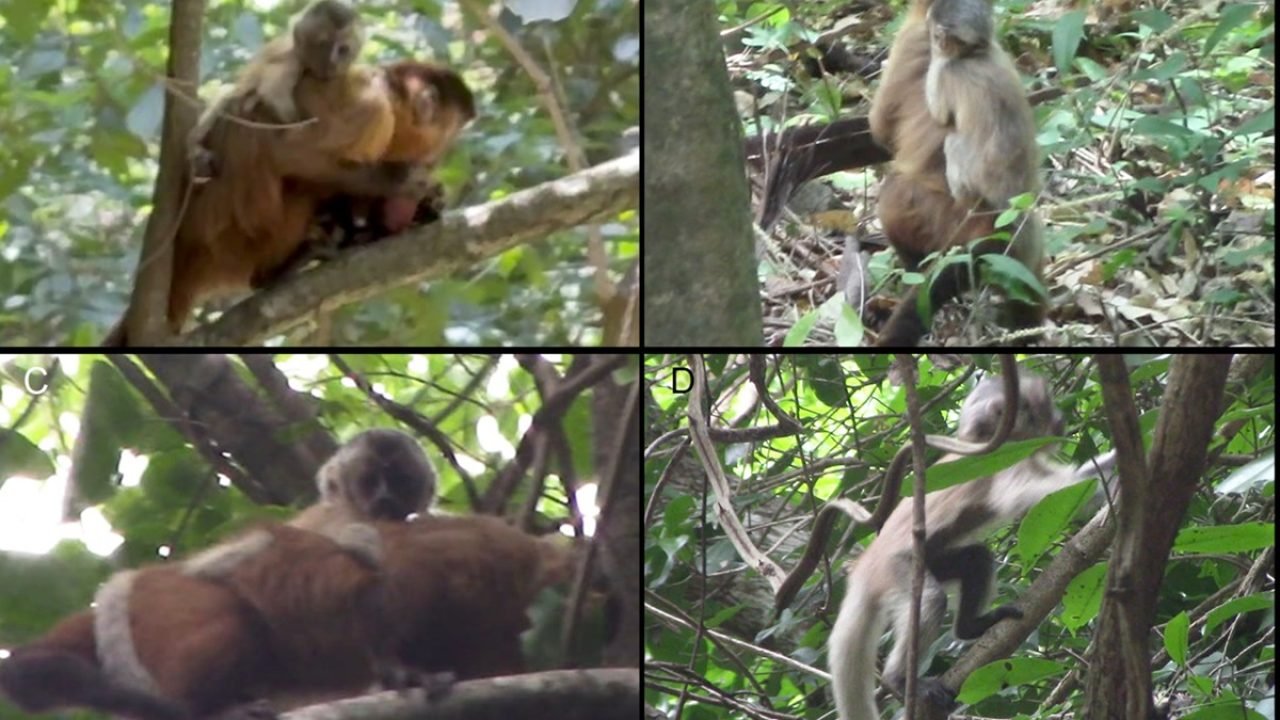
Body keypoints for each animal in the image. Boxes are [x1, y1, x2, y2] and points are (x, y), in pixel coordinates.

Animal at [0, 514, 577, 720]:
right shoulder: (474, 558)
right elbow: (384, 588)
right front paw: (400, 671)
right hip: (169, 601)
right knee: (235, 622)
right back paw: (207, 709)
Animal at [188, 0, 365, 180]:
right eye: (323, 45)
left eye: (343, 50)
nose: (334, 60)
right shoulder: (292, 61)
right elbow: (272, 92)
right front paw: (300, 131)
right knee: (227, 95)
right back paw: (195, 148)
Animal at [827, 371, 1117, 720]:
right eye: (1042, 410)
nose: (1060, 421)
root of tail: (863, 568)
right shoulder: (1004, 460)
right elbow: (1045, 493)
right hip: (894, 568)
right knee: (932, 600)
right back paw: (898, 679)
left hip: (932, 561)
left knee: (977, 557)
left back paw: (969, 628)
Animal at [867, 0, 1044, 346]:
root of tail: (997, 222)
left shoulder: (915, 42)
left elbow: (881, 128)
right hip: (1020, 252)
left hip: (948, 220)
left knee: (895, 194)